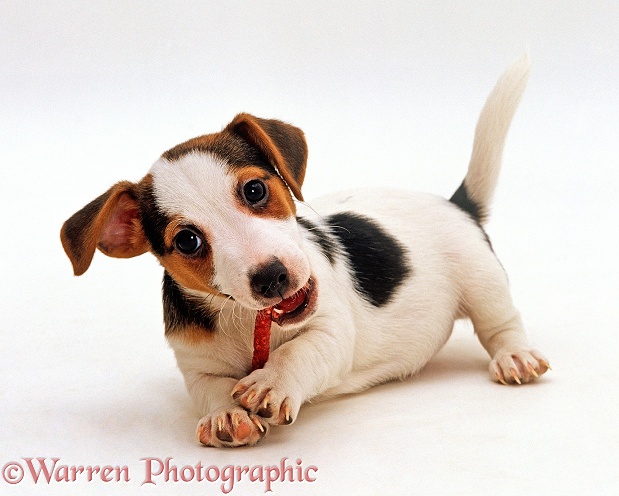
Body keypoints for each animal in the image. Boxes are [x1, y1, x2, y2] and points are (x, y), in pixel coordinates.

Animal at [60, 55, 548, 450]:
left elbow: (298, 353)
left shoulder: (331, 332)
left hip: (483, 282)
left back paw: (515, 356)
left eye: (254, 190)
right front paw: (226, 415)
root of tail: (456, 204)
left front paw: (272, 382)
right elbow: (211, 389)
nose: (272, 277)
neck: (249, 322)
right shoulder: (196, 366)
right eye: (187, 241)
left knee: (501, 324)